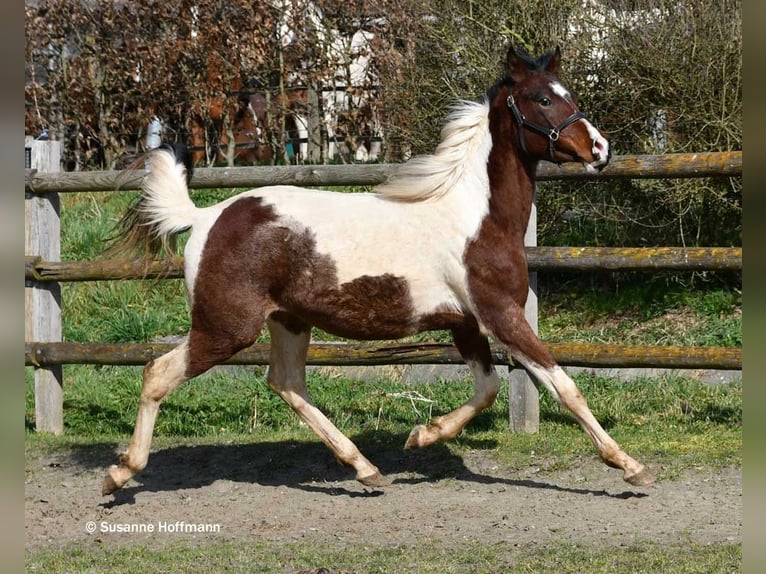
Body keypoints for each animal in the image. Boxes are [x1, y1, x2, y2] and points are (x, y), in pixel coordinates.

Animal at [102, 46, 655, 495]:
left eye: (568, 94)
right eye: (541, 99)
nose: (601, 150)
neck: (475, 217)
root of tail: (205, 217)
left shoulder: (466, 322)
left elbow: (488, 388)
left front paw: (422, 435)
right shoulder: (501, 314)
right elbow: (564, 385)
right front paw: (630, 466)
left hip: (289, 320)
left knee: (286, 383)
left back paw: (365, 469)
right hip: (226, 327)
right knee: (158, 373)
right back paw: (121, 473)